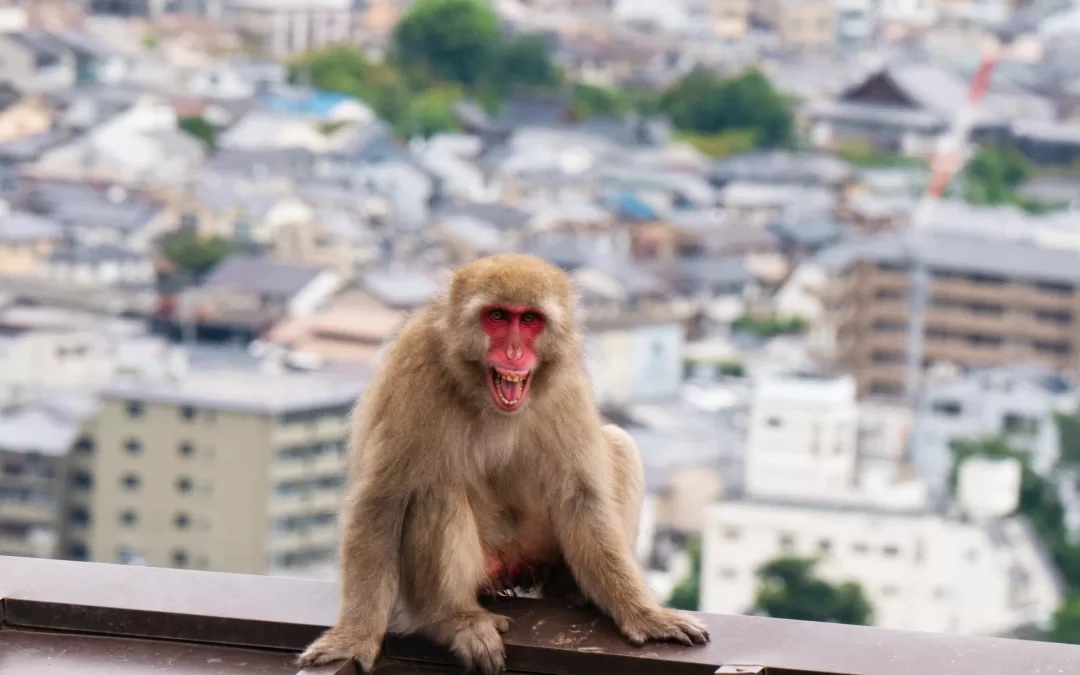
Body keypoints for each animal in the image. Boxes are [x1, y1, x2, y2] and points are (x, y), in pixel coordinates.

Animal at [300, 253, 712, 673]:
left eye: (529, 319)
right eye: (497, 316)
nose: (514, 353)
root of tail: (513, 566)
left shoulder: (567, 383)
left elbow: (582, 496)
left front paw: (643, 613)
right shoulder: (413, 372)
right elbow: (381, 501)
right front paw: (354, 639)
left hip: (538, 547)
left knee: (618, 443)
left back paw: (573, 589)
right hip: (478, 573)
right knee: (435, 492)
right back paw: (452, 619)